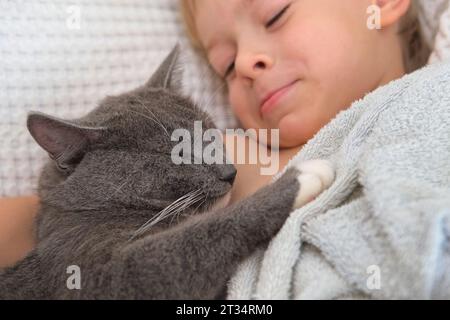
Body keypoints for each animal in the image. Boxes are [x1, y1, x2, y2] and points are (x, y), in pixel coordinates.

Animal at [0, 46, 334, 298]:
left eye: (209, 132)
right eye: (178, 153)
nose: (230, 172)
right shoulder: (92, 271)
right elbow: (195, 240)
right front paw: (302, 177)